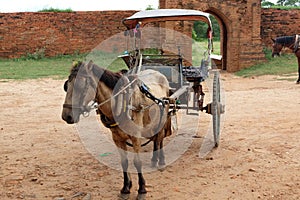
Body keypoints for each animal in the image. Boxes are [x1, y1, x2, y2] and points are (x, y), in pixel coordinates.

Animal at [61, 60, 172, 198]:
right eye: (66, 86)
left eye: (80, 86)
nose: (66, 116)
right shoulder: (117, 138)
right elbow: (124, 162)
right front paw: (126, 187)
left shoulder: (135, 136)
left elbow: (137, 162)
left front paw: (142, 189)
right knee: (156, 138)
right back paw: (154, 159)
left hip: (162, 118)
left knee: (159, 138)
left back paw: (161, 160)